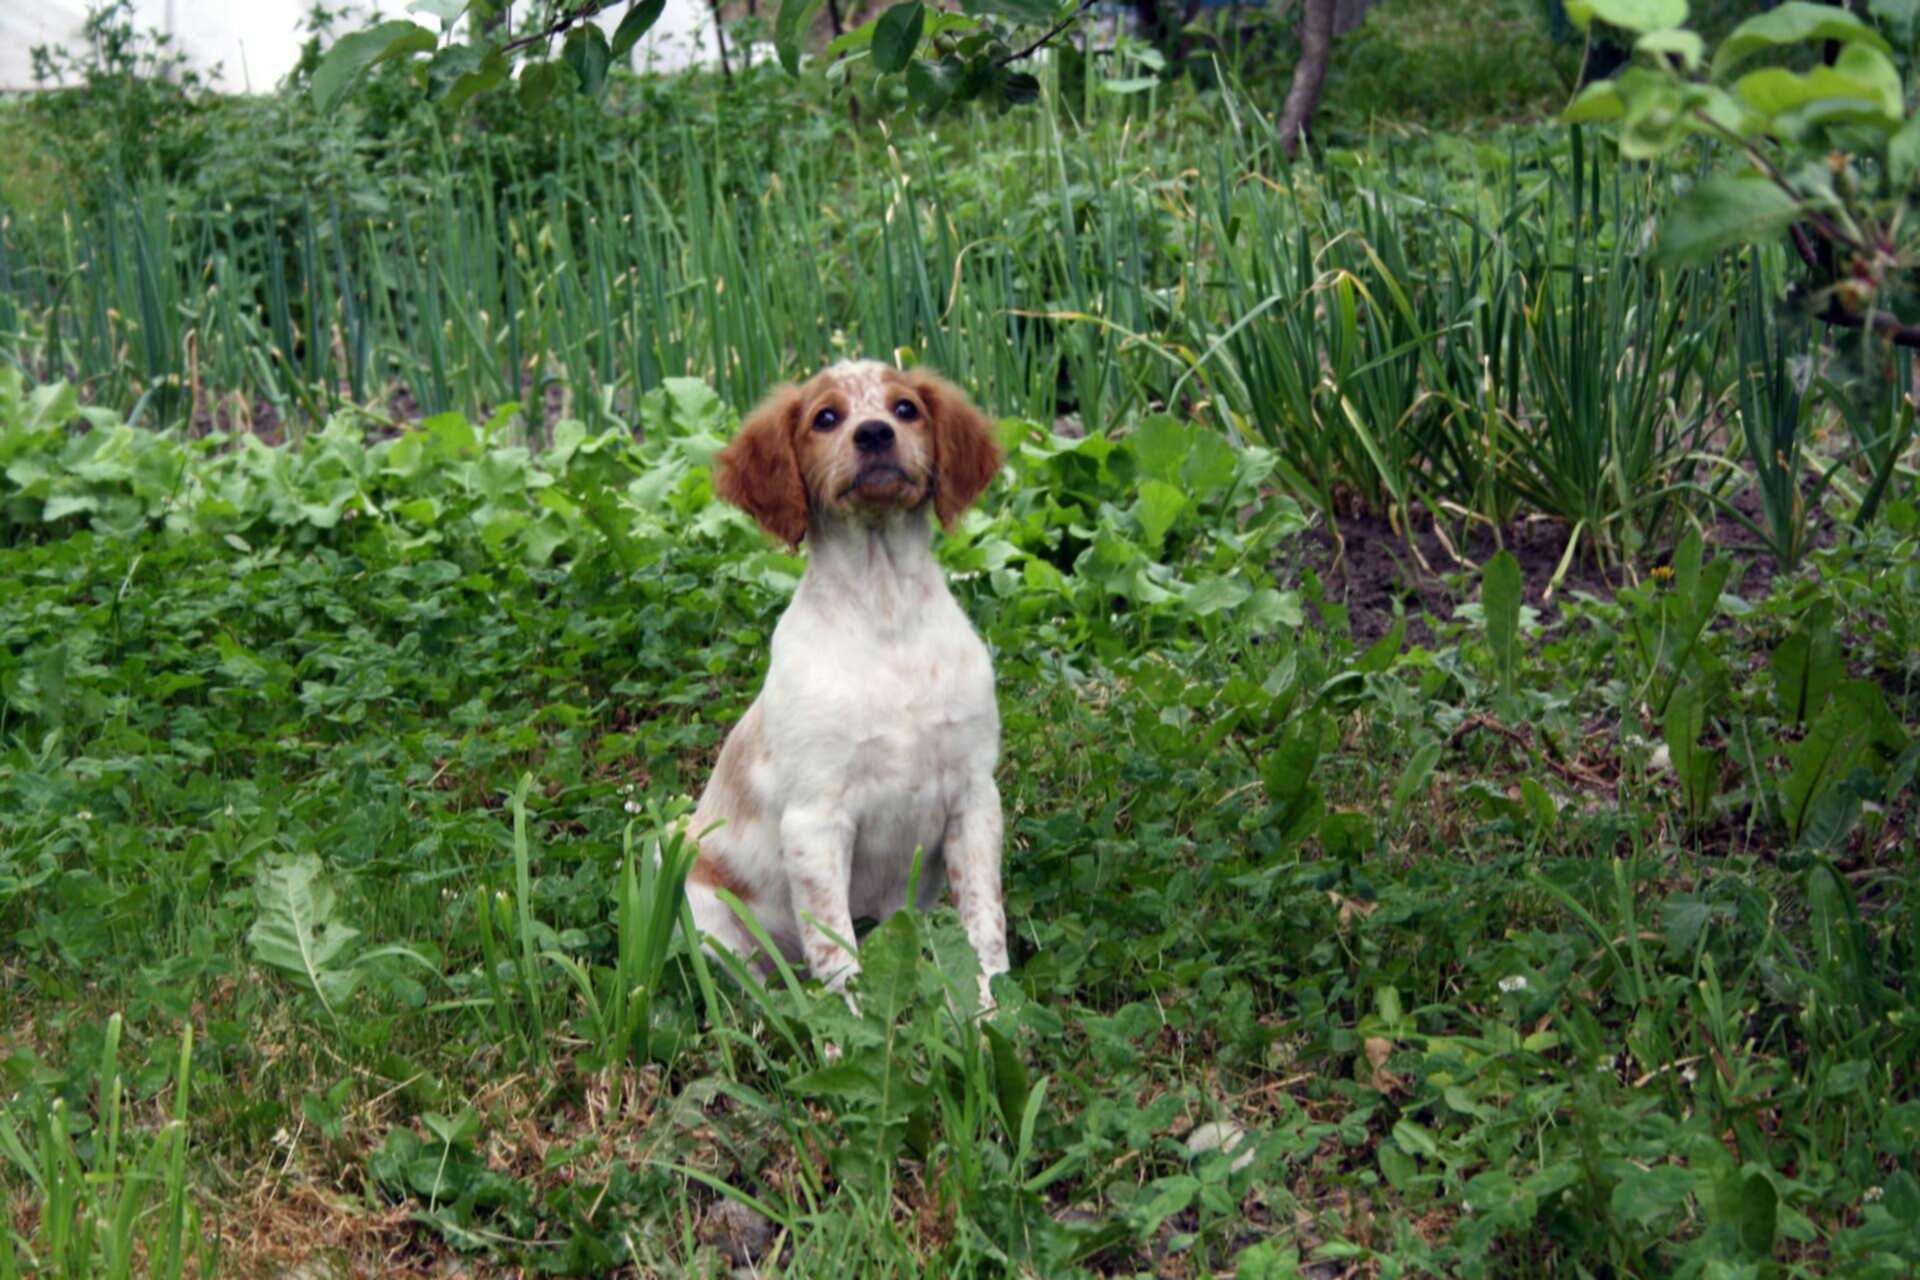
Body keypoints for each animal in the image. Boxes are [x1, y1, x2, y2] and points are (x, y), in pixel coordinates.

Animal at [695, 360, 1021, 1013]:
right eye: (826, 417)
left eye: (905, 409)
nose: (873, 434)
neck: (884, 606)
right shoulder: (815, 817)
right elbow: (835, 948)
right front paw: (852, 1030)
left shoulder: (974, 796)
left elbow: (984, 924)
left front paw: (990, 1013)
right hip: (697, 899)